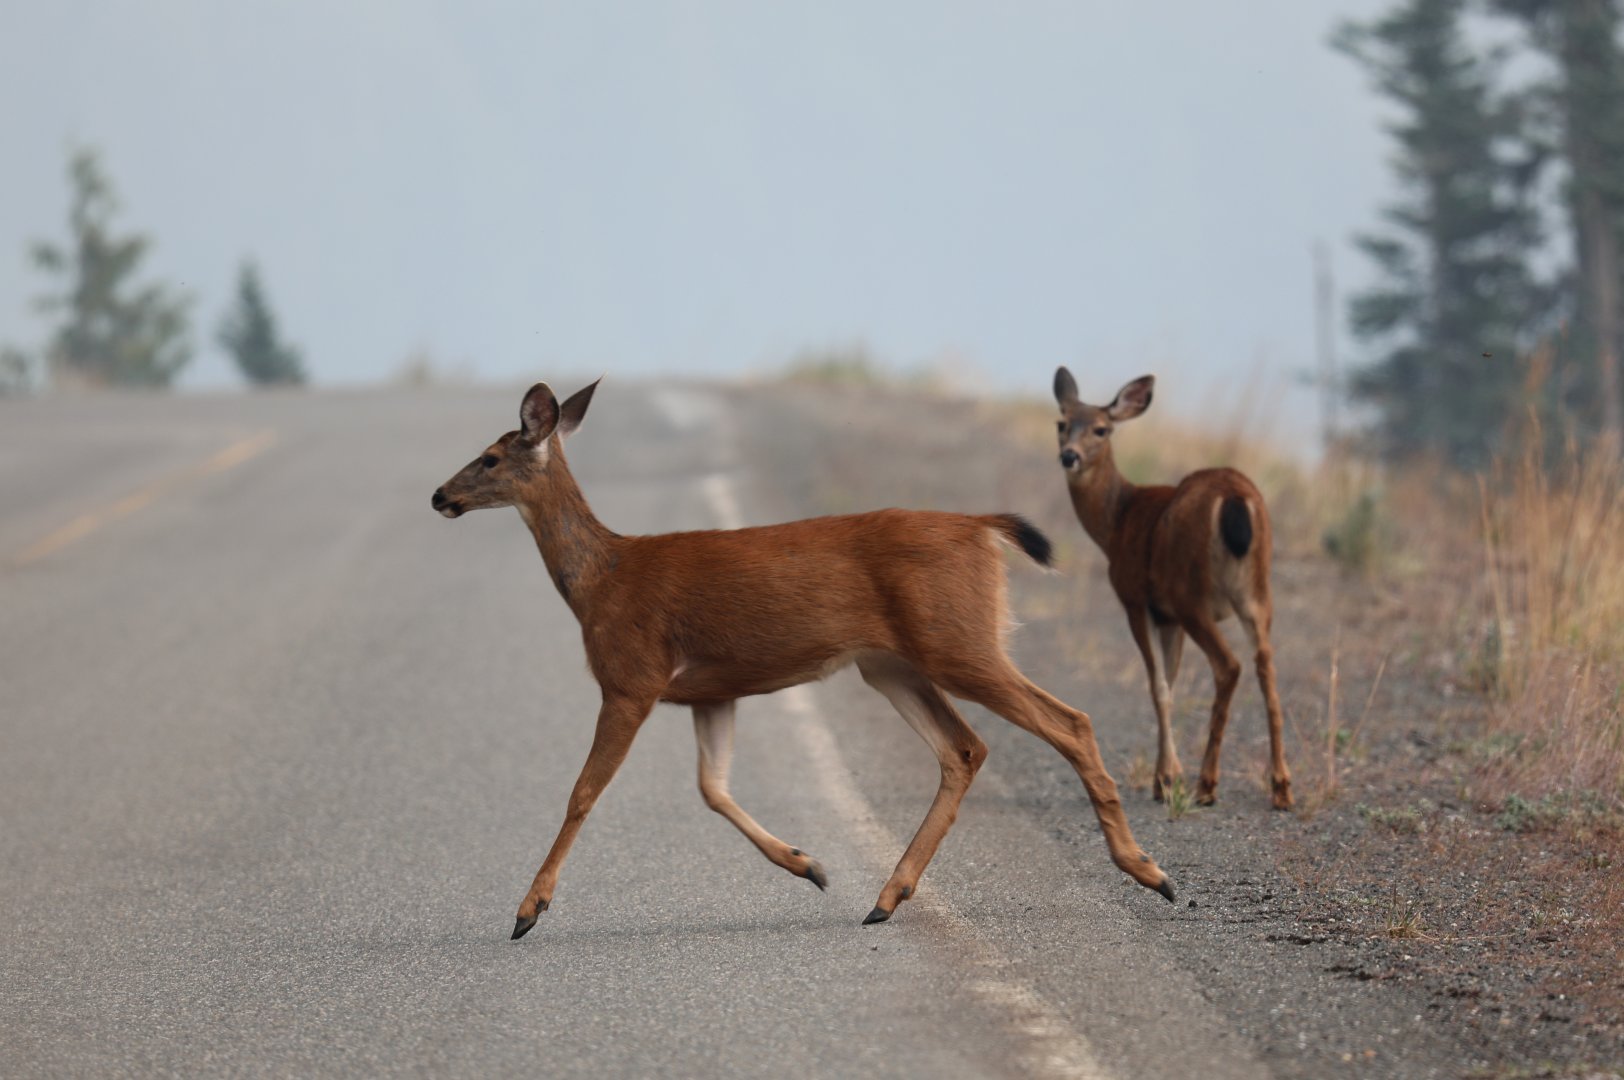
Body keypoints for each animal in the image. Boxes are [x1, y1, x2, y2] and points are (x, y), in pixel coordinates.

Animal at [431, 378, 1176, 939]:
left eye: (491, 457)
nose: (440, 495)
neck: (600, 582)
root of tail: (982, 528)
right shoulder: (710, 690)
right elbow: (712, 787)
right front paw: (808, 864)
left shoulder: (630, 677)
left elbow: (584, 791)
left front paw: (529, 909)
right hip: (892, 663)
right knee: (965, 748)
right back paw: (886, 897)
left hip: (958, 641)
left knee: (1069, 721)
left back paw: (1150, 871)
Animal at [1052, 369, 1293, 811]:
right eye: (1062, 423)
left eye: (1101, 428)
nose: (1069, 456)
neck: (1118, 521)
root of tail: (1235, 499)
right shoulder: (1168, 619)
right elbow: (1173, 681)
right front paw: (1168, 773)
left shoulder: (1137, 600)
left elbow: (1159, 686)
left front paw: (1165, 780)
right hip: (1256, 594)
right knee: (1266, 667)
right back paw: (1282, 787)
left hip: (1191, 595)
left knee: (1229, 666)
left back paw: (1207, 785)